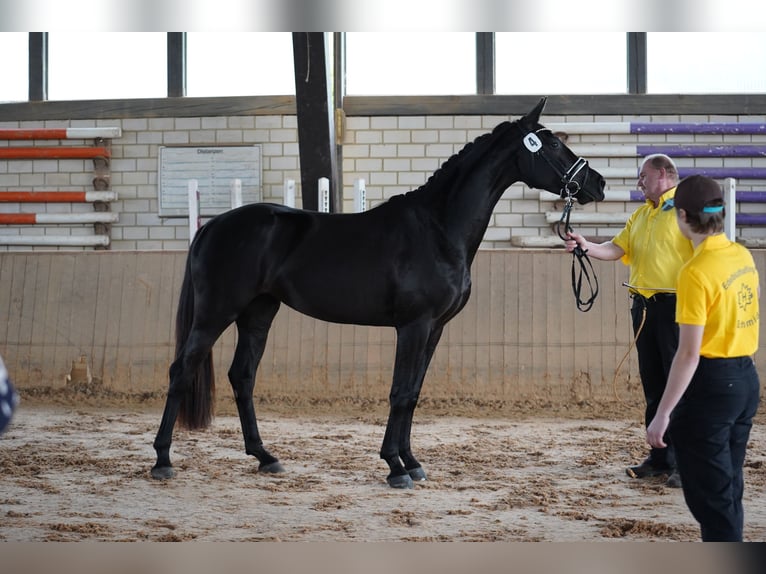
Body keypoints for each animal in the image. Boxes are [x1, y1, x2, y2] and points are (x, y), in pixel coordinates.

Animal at [151, 97, 606, 488]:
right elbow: (400, 393)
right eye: (553, 144)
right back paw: (163, 460)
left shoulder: (435, 329)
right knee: (181, 370)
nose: (597, 183)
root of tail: (213, 225)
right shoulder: (414, 326)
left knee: (242, 376)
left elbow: (414, 393)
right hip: (216, 312)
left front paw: (413, 462)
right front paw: (395, 467)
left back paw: (266, 457)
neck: (438, 228)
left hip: (259, 312)